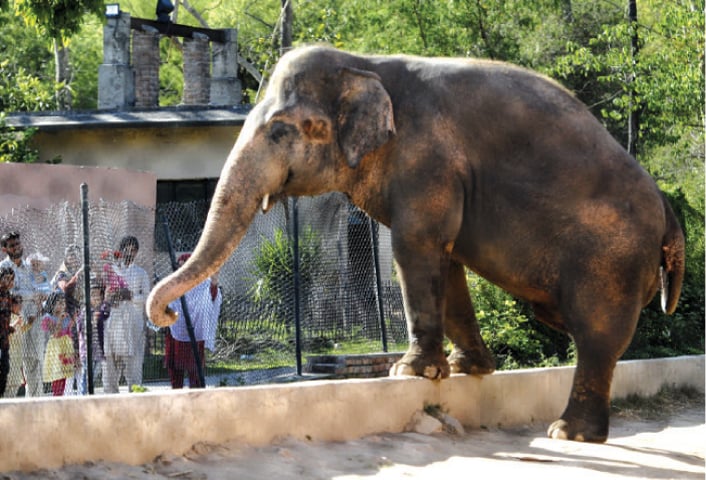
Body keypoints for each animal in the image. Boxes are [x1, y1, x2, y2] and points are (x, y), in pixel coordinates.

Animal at [147, 45, 680, 442]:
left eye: (280, 131)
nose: (169, 314)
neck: (366, 63)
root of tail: (667, 208)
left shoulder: (427, 161)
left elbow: (416, 247)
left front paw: (408, 373)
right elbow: (448, 262)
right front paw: (468, 369)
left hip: (612, 259)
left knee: (596, 337)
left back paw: (568, 434)